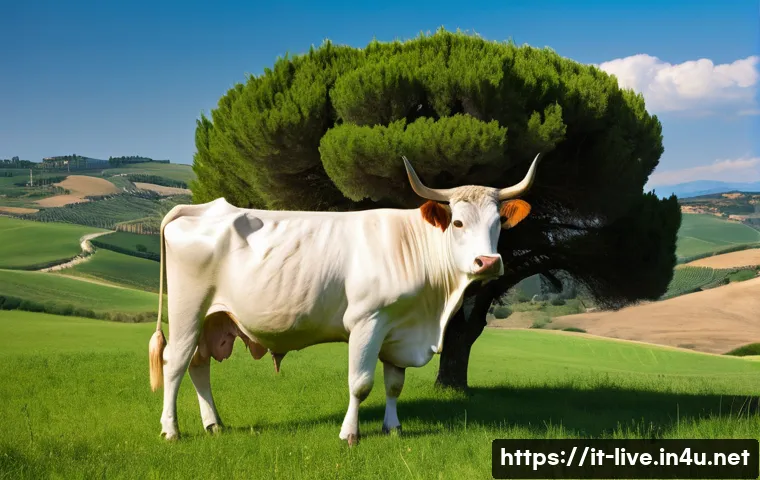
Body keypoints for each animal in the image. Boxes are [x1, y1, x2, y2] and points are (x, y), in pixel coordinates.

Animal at [148, 153, 542, 445]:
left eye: (498, 223)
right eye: (458, 223)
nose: (488, 262)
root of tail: (202, 208)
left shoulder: (398, 329)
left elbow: (394, 384)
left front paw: (393, 428)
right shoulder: (367, 321)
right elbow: (361, 383)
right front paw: (350, 434)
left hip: (213, 318)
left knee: (199, 365)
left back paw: (213, 424)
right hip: (187, 310)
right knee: (175, 363)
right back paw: (170, 430)